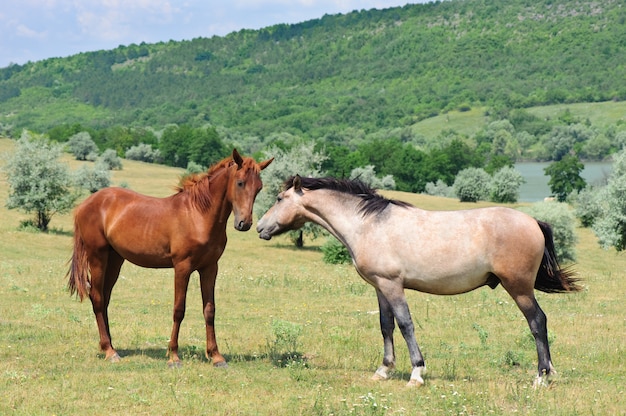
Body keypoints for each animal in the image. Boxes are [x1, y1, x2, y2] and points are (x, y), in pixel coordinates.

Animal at [68, 149, 270, 368]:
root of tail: (85, 204)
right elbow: (178, 310)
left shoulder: (210, 268)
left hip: (115, 260)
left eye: (259, 187)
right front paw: (173, 356)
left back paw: (109, 346)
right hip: (98, 257)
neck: (198, 215)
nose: (244, 223)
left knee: (104, 298)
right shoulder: (182, 267)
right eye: (240, 183)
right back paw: (109, 351)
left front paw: (216, 356)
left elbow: (209, 310)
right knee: (97, 297)